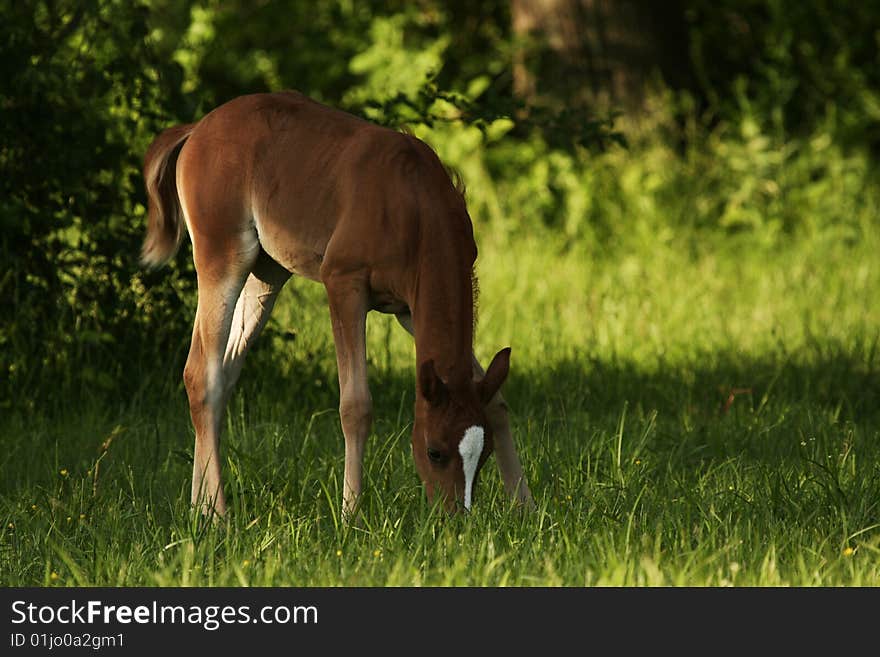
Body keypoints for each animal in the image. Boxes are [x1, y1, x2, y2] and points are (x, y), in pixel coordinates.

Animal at [141, 91, 532, 516]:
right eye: (435, 451)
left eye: (484, 453)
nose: (453, 517)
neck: (412, 205)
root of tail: (197, 128)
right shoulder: (344, 285)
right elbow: (355, 405)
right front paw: (350, 513)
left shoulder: (410, 310)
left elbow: (497, 403)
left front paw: (525, 507)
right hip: (222, 256)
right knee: (201, 374)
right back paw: (219, 515)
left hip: (266, 273)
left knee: (224, 374)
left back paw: (200, 508)